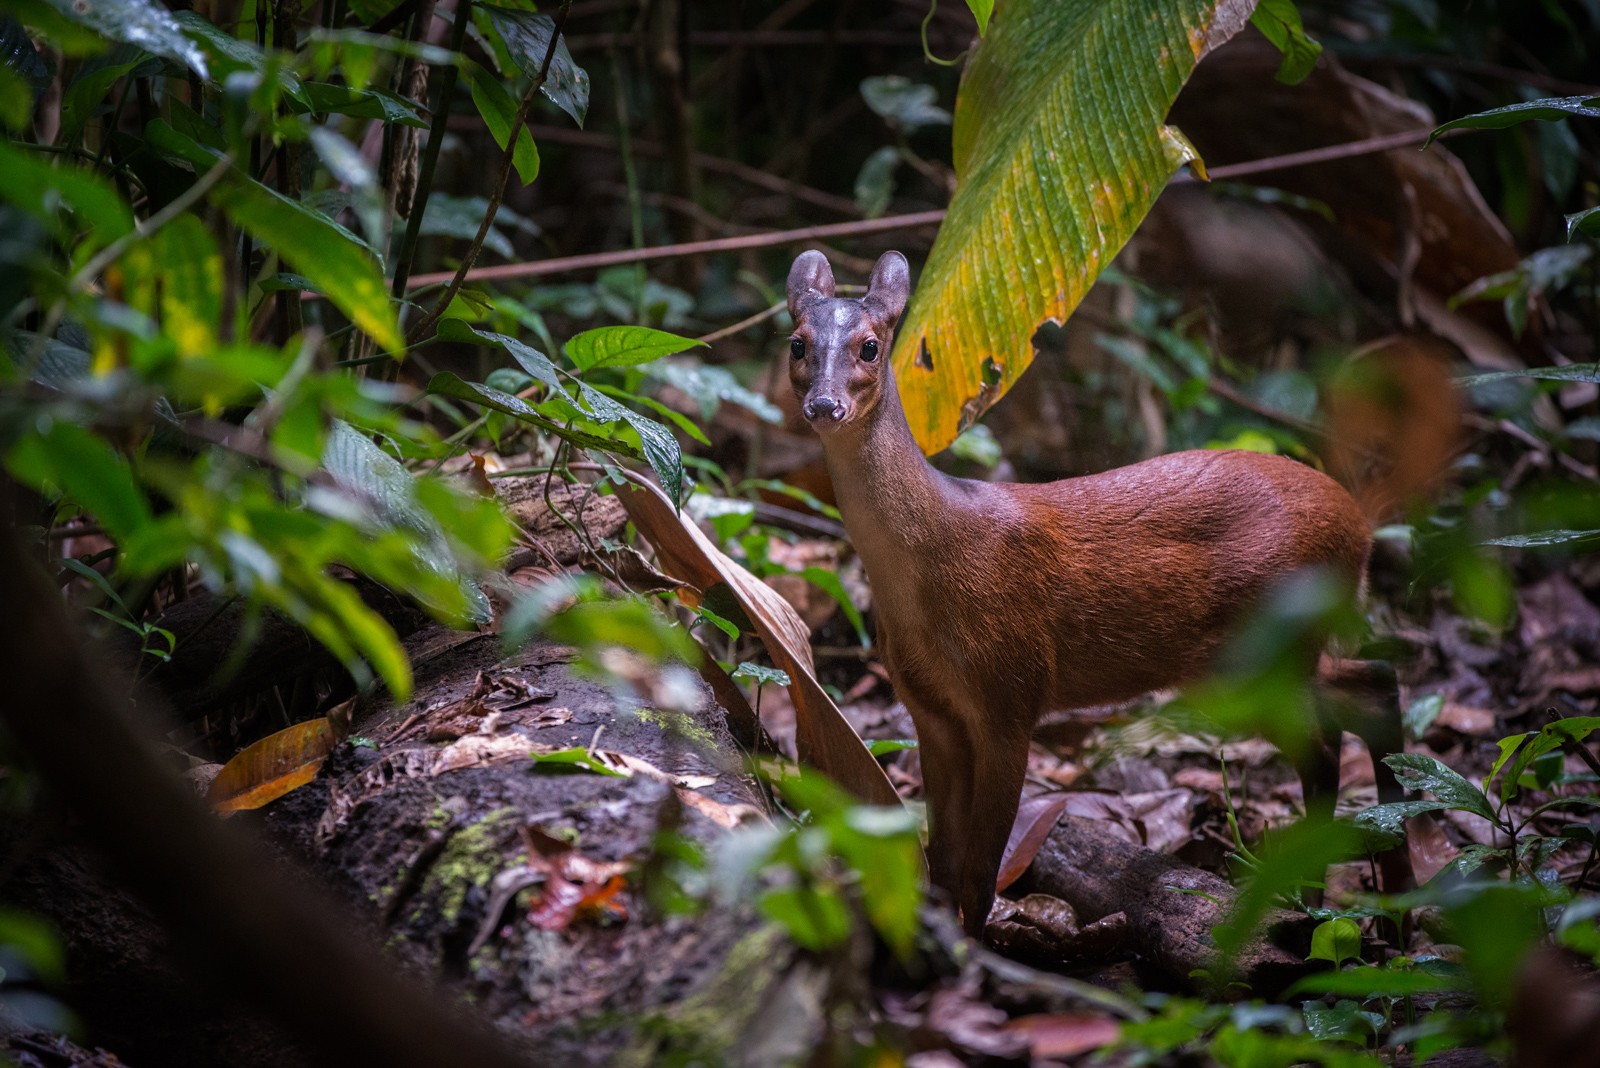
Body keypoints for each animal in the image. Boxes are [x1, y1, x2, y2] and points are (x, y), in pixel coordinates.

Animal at [780, 247, 1408, 933]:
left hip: (1257, 653)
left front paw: (980, 953)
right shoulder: (930, 710)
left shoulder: (1011, 694)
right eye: (797, 343)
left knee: (1326, 741)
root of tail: (1360, 531)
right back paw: (1379, 908)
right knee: (1370, 687)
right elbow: (939, 864)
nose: (824, 405)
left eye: (870, 347)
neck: (927, 571)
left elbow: (978, 874)